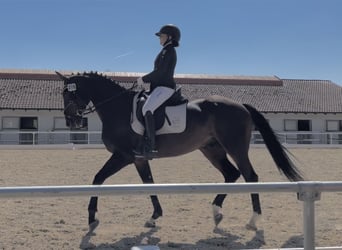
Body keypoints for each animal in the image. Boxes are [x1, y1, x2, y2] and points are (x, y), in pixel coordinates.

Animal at [56, 71, 304, 233]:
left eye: (71, 93)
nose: (71, 121)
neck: (118, 108)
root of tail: (241, 105)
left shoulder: (123, 156)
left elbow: (97, 178)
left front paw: (91, 218)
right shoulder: (138, 159)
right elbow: (149, 183)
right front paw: (154, 217)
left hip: (235, 147)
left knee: (250, 175)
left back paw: (253, 221)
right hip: (211, 149)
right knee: (231, 174)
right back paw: (216, 212)